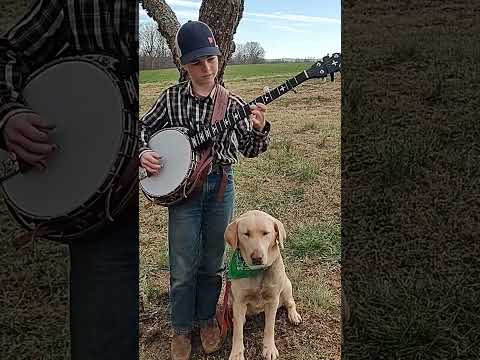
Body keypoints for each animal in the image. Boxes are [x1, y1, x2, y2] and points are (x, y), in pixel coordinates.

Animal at [224, 210, 300, 358]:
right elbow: (238, 332)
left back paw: (293, 315)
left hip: (286, 286)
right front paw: (237, 353)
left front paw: (269, 348)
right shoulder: (239, 301)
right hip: (231, 297)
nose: (257, 258)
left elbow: (269, 327)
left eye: (266, 233)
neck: (257, 272)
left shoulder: (272, 300)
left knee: (290, 302)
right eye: (246, 234)